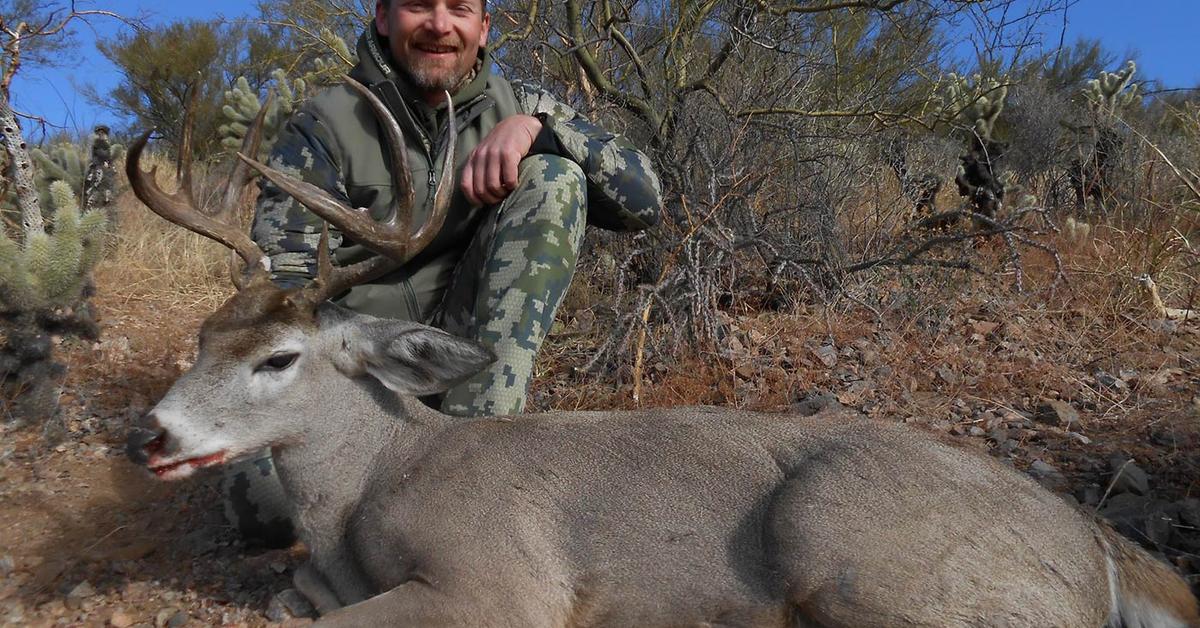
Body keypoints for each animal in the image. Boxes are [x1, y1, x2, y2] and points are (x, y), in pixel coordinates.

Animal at [124, 78, 1200, 628]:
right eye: (202, 339)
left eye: (279, 358)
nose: (152, 434)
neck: (374, 484)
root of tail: (1097, 547)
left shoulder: (500, 581)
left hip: (849, 548)